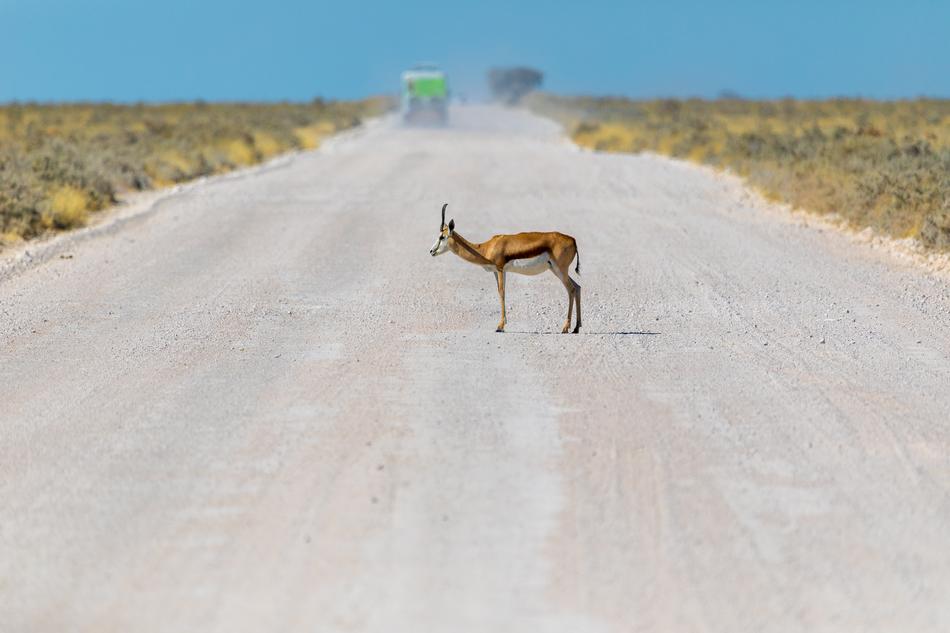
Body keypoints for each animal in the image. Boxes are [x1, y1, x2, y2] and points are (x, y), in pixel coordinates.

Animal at [429, 203, 582, 333]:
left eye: (442, 237)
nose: (431, 251)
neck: (486, 248)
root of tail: (573, 240)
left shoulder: (501, 269)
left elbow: (502, 292)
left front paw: (500, 326)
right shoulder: (497, 272)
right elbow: (499, 291)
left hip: (560, 270)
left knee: (571, 289)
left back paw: (565, 328)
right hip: (556, 270)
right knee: (578, 287)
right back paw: (576, 328)